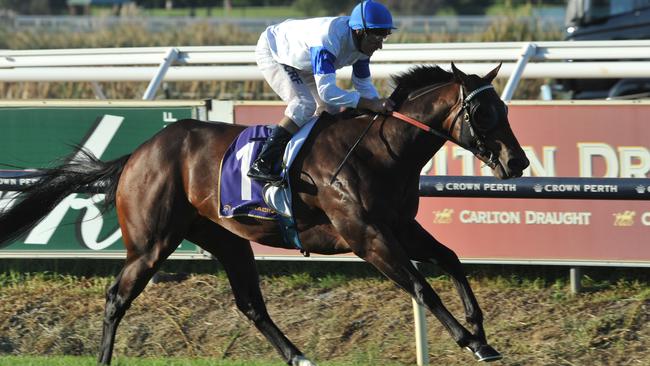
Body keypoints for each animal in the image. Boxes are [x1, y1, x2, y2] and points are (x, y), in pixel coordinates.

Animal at [0, 64, 528, 364]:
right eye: (484, 113)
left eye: (504, 109)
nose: (519, 161)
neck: (382, 149)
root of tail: (137, 154)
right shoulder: (366, 235)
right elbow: (421, 285)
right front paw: (470, 340)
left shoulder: (400, 226)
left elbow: (451, 259)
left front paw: (482, 333)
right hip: (151, 244)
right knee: (115, 298)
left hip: (227, 239)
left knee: (251, 305)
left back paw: (299, 358)